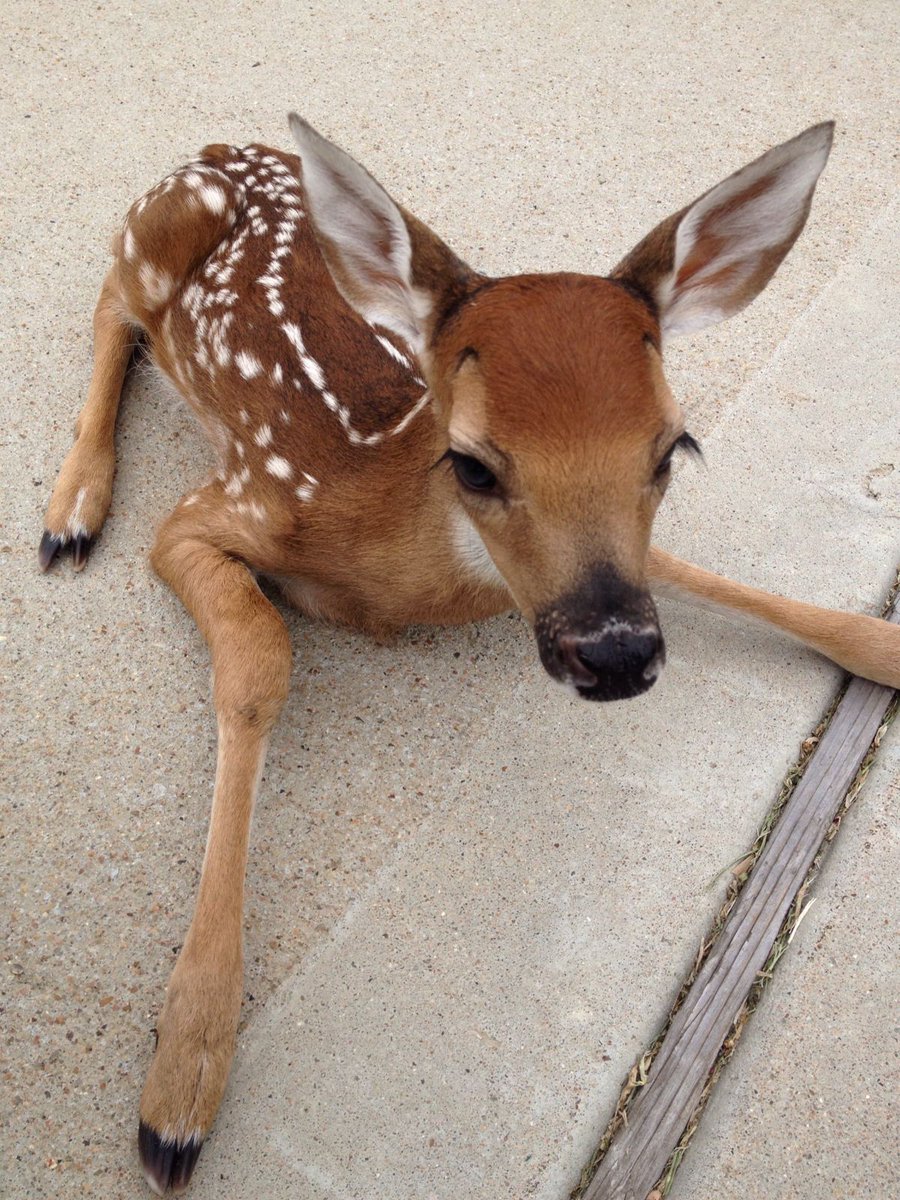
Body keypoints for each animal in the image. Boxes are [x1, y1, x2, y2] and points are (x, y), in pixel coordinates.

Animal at [39, 115, 899, 1194]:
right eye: (474, 463)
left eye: (674, 450)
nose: (615, 654)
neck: (394, 545)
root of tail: (227, 148)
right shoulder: (212, 509)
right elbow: (260, 663)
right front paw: (181, 1080)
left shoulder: (582, 571)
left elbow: (682, 568)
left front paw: (887, 646)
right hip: (157, 235)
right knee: (112, 308)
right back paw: (71, 508)